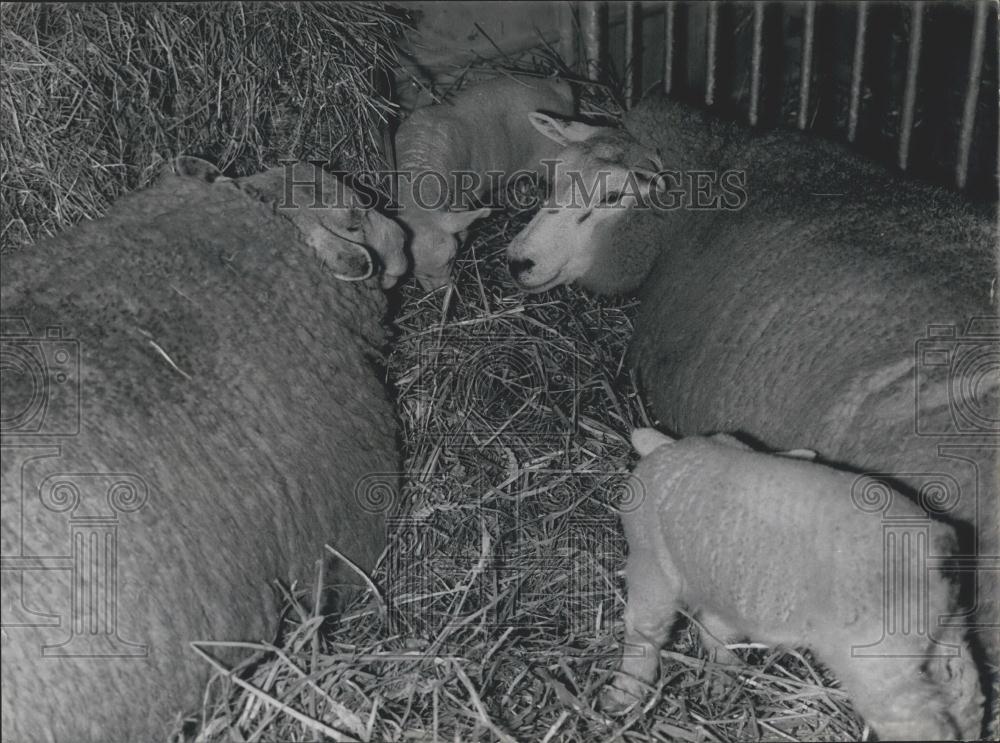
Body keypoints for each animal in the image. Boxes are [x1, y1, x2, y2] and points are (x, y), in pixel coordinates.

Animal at [604, 428, 988, 740]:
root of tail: (933, 553)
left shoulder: (652, 567)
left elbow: (644, 634)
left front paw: (624, 693)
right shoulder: (726, 590)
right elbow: (718, 633)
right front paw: (725, 676)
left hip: (879, 664)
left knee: (920, 724)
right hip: (944, 636)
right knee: (966, 697)